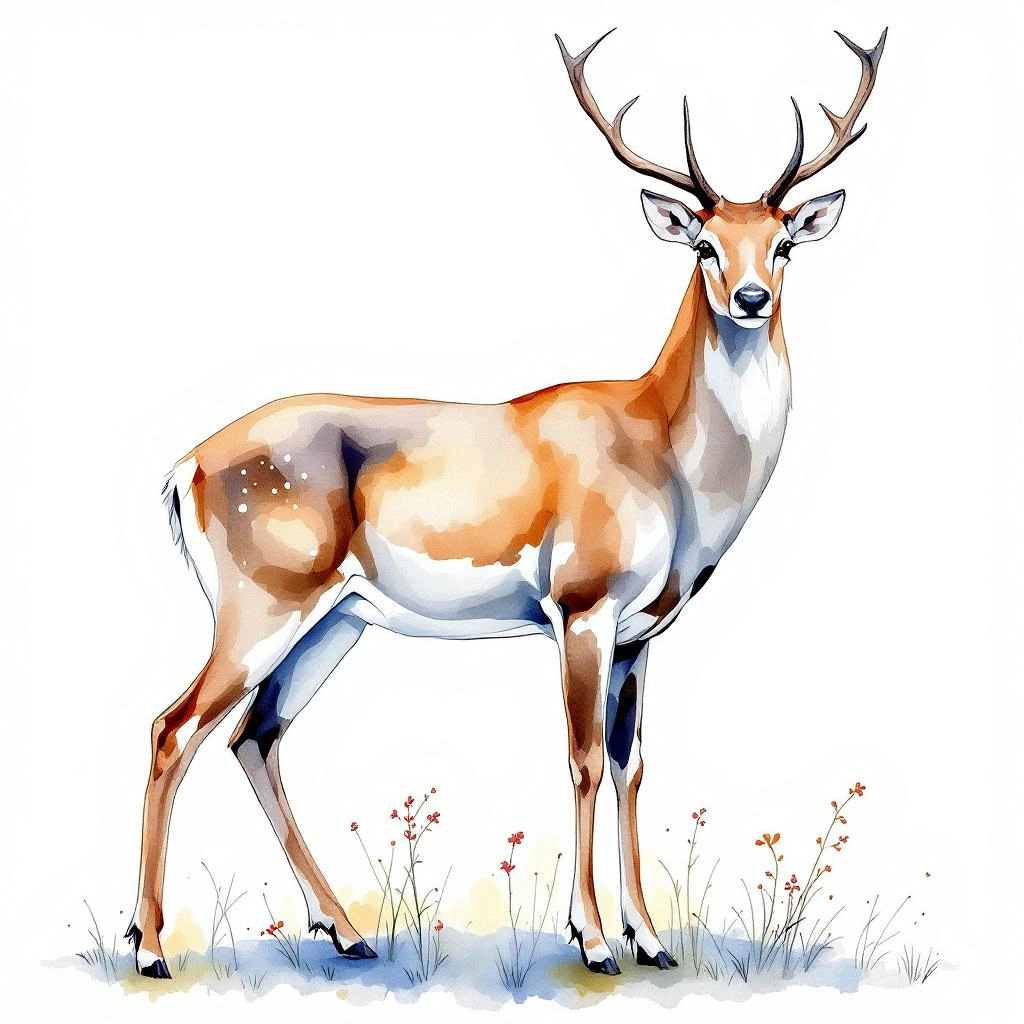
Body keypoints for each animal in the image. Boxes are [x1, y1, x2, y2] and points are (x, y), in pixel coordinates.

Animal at [126, 27, 886, 978]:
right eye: (704, 245)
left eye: (783, 244)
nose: (751, 297)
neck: (664, 451)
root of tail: (184, 466)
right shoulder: (582, 603)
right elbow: (584, 759)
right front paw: (593, 940)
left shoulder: (642, 632)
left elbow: (634, 765)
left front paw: (651, 939)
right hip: (257, 601)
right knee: (173, 727)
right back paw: (150, 947)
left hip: (335, 619)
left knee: (254, 736)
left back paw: (345, 930)